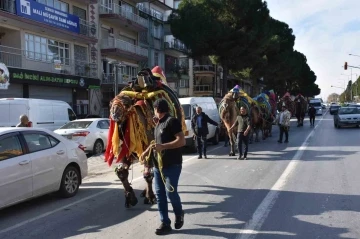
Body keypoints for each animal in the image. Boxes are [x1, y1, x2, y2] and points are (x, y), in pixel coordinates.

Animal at [104, 66, 186, 207]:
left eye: (126, 102)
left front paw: (150, 197)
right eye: (111, 102)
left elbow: (148, 173)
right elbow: (122, 172)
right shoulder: (128, 150)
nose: (115, 113)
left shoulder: (149, 147)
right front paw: (130, 198)